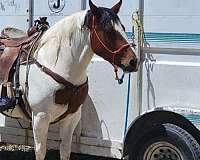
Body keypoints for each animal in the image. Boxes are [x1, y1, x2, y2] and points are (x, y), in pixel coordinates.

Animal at [0, 0, 138, 160]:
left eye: (123, 28)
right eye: (108, 30)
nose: (133, 61)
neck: (56, 64)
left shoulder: (71, 117)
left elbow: (65, 150)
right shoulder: (40, 117)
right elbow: (41, 151)